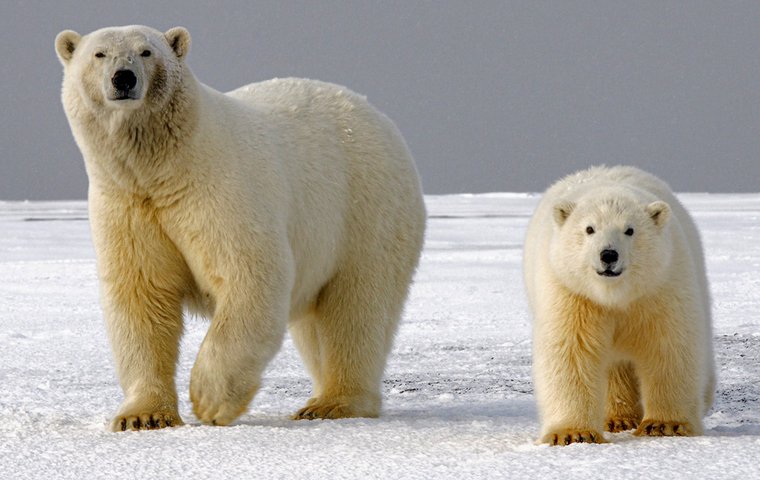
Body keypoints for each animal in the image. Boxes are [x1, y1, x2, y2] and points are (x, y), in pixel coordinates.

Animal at [56, 25, 428, 432]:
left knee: (356, 308)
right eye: (99, 54)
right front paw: (142, 416)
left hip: (365, 209)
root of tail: (377, 115)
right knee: (317, 324)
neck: (164, 168)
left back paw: (334, 403)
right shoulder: (127, 205)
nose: (123, 78)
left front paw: (209, 399)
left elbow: (250, 274)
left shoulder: (219, 190)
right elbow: (142, 296)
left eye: (146, 52)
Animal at [524, 167, 716, 444]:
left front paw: (664, 425)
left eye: (630, 230)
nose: (608, 255)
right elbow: (571, 351)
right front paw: (573, 433)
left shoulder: (660, 287)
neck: (615, 295)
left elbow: (669, 346)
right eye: (589, 228)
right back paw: (618, 419)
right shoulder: (572, 293)